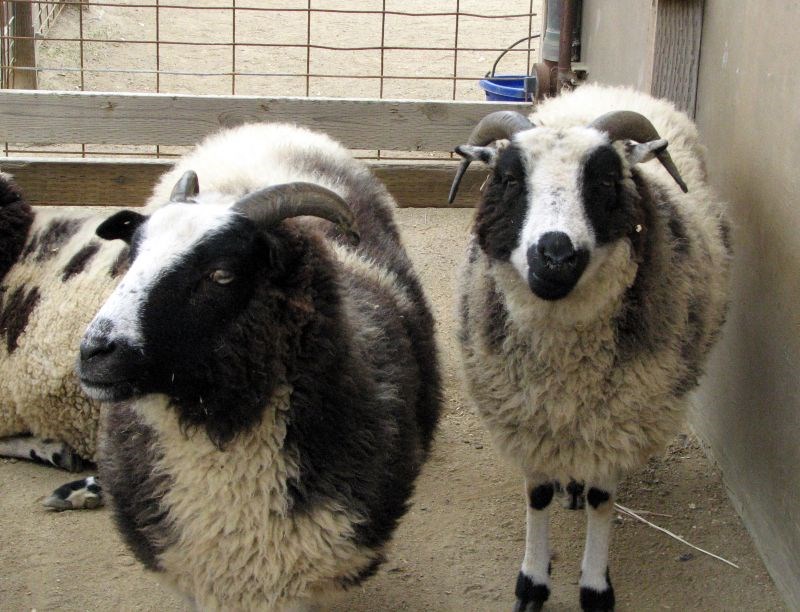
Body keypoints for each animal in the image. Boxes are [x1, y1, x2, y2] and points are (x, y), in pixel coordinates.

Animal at [450, 86, 732, 612]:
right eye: (509, 178)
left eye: (603, 179)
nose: (556, 256)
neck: (566, 367)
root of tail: (603, 90)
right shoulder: (526, 417)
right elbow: (538, 493)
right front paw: (532, 584)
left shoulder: (620, 418)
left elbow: (604, 499)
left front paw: (595, 587)